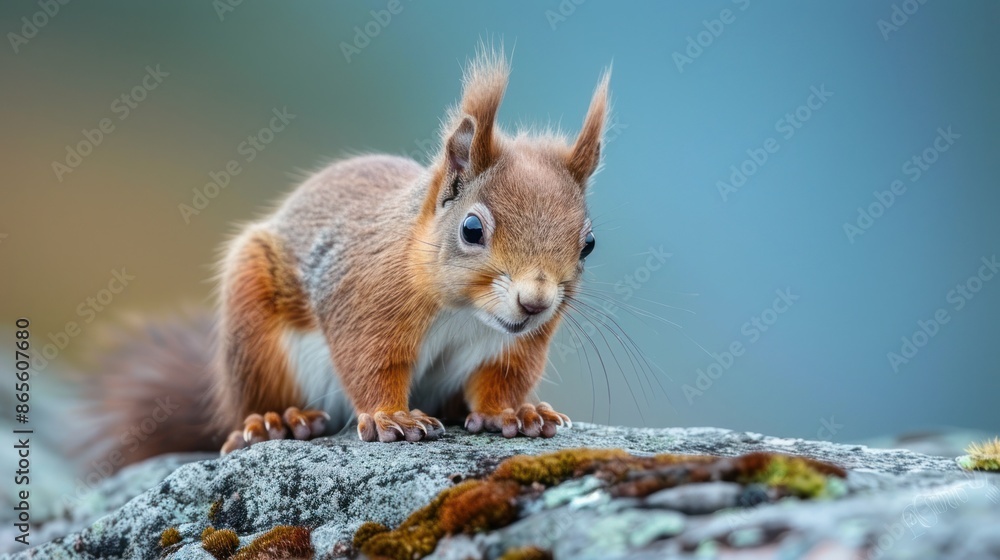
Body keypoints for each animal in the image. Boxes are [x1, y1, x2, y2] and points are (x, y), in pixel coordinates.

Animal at [81, 49, 611, 466]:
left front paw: (514, 413)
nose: (535, 302)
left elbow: (501, 381)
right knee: (249, 408)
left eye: (588, 243)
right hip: (255, 336)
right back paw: (276, 421)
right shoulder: (365, 300)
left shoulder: (512, 346)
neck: (464, 311)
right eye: (472, 229)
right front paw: (391, 417)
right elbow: (370, 365)